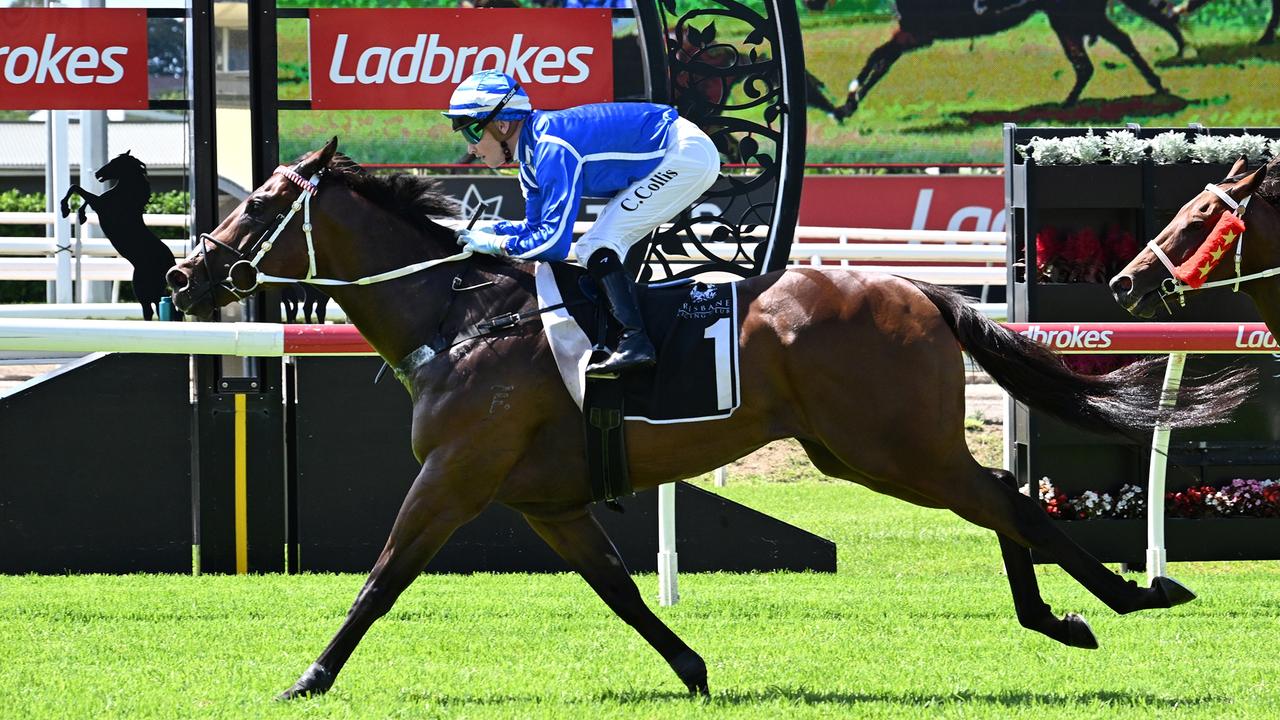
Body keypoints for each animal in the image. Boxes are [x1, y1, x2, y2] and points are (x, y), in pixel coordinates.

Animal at [59, 149, 177, 317]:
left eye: (115, 163)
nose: (97, 174)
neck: (126, 195)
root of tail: (170, 263)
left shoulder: (100, 204)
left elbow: (76, 188)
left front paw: (65, 209)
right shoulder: (100, 202)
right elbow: (83, 196)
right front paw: (81, 216)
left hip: (141, 286)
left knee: (150, 309)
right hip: (151, 287)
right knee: (156, 306)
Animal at [165, 139, 1254, 696]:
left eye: (258, 205)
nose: (184, 274)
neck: (461, 318)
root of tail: (916, 288)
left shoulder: (455, 478)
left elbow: (381, 580)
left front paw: (309, 678)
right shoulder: (544, 503)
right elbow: (618, 592)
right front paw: (691, 667)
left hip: (887, 447)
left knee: (1005, 499)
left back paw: (1126, 597)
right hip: (864, 449)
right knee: (998, 496)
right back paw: (1064, 616)